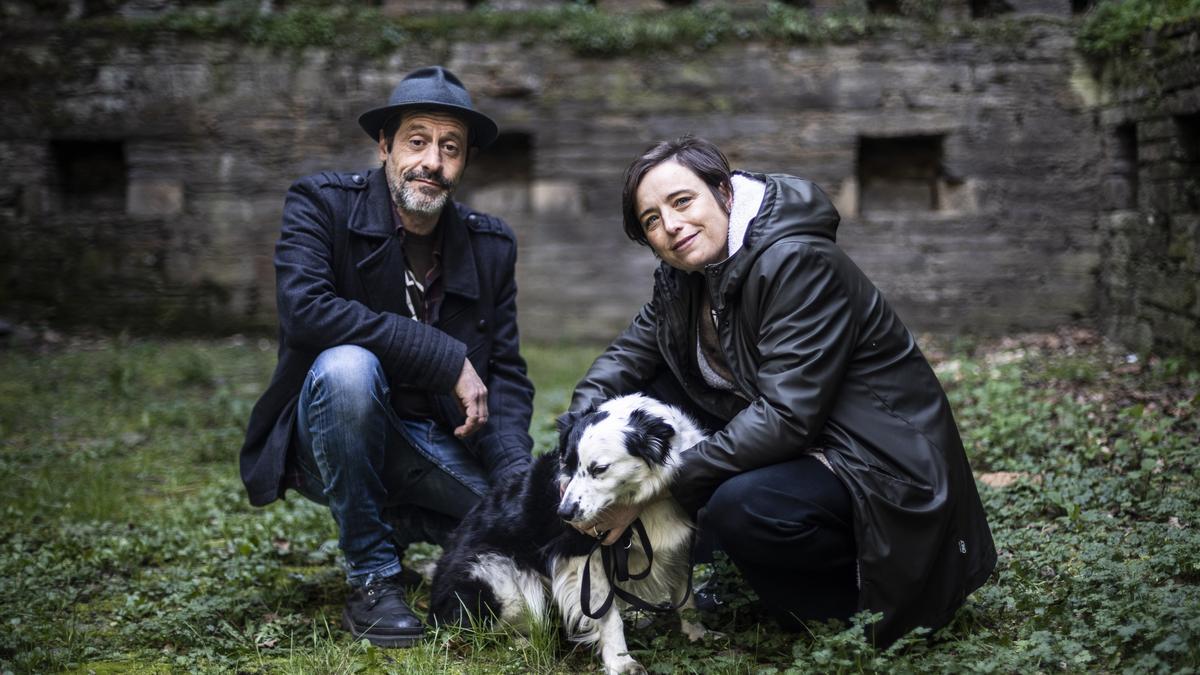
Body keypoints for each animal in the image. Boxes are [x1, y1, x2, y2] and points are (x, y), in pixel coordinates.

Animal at [432, 391, 705, 667]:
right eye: (569, 465)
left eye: (599, 469)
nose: (564, 514)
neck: (642, 502)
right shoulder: (583, 555)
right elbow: (607, 614)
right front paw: (621, 662)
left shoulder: (679, 545)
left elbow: (686, 596)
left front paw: (697, 633)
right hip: (500, 578)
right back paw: (521, 643)